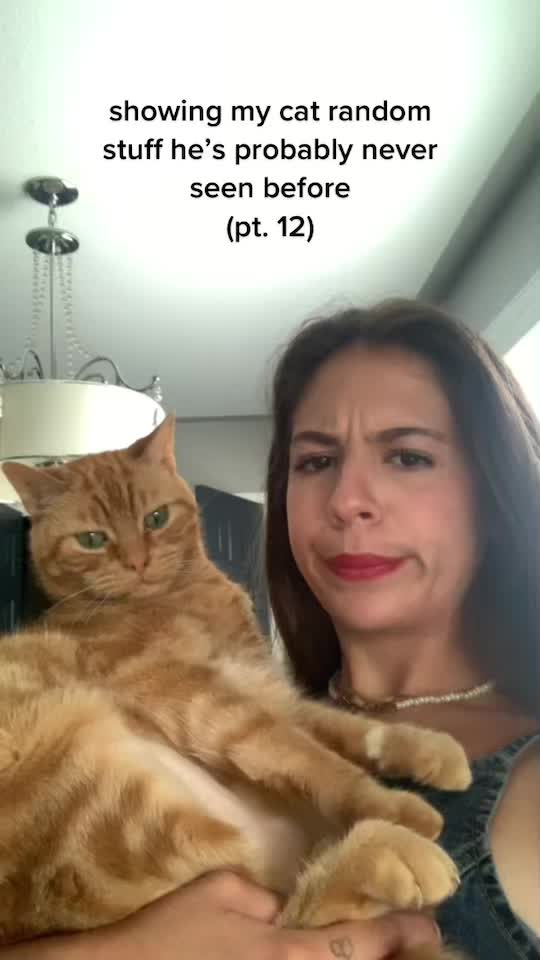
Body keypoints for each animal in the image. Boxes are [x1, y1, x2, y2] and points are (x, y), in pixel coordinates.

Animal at [0, 416, 470, 958]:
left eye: (156, 518)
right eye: (93, 540)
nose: (138, 562)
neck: (181, 595)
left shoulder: (260, 680)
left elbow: (343, 727)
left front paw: (429, 749)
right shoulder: (187, 689)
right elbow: (304, 752)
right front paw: (390, 803)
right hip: (104, 804)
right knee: (292, 909)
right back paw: (394, 856)